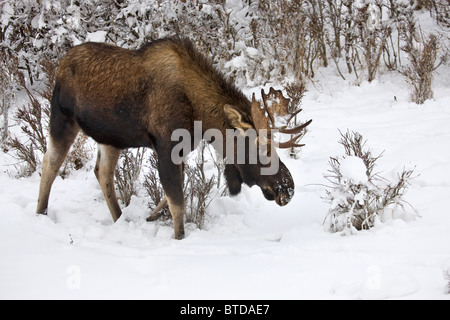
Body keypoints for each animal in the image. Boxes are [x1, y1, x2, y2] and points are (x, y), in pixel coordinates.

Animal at [37, 36, 312, 239]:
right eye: (261, 150)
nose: (287, 189)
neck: (200, 116)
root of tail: (60, 64)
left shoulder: (180, 149)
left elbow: (173, 194)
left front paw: (151, 217)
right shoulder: (166, 147)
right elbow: (178, 203)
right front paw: (178, 238)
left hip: (110, 138)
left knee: (102, 172)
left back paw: (119, 218)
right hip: (62, 118)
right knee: (50, 163)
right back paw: (41, 213)